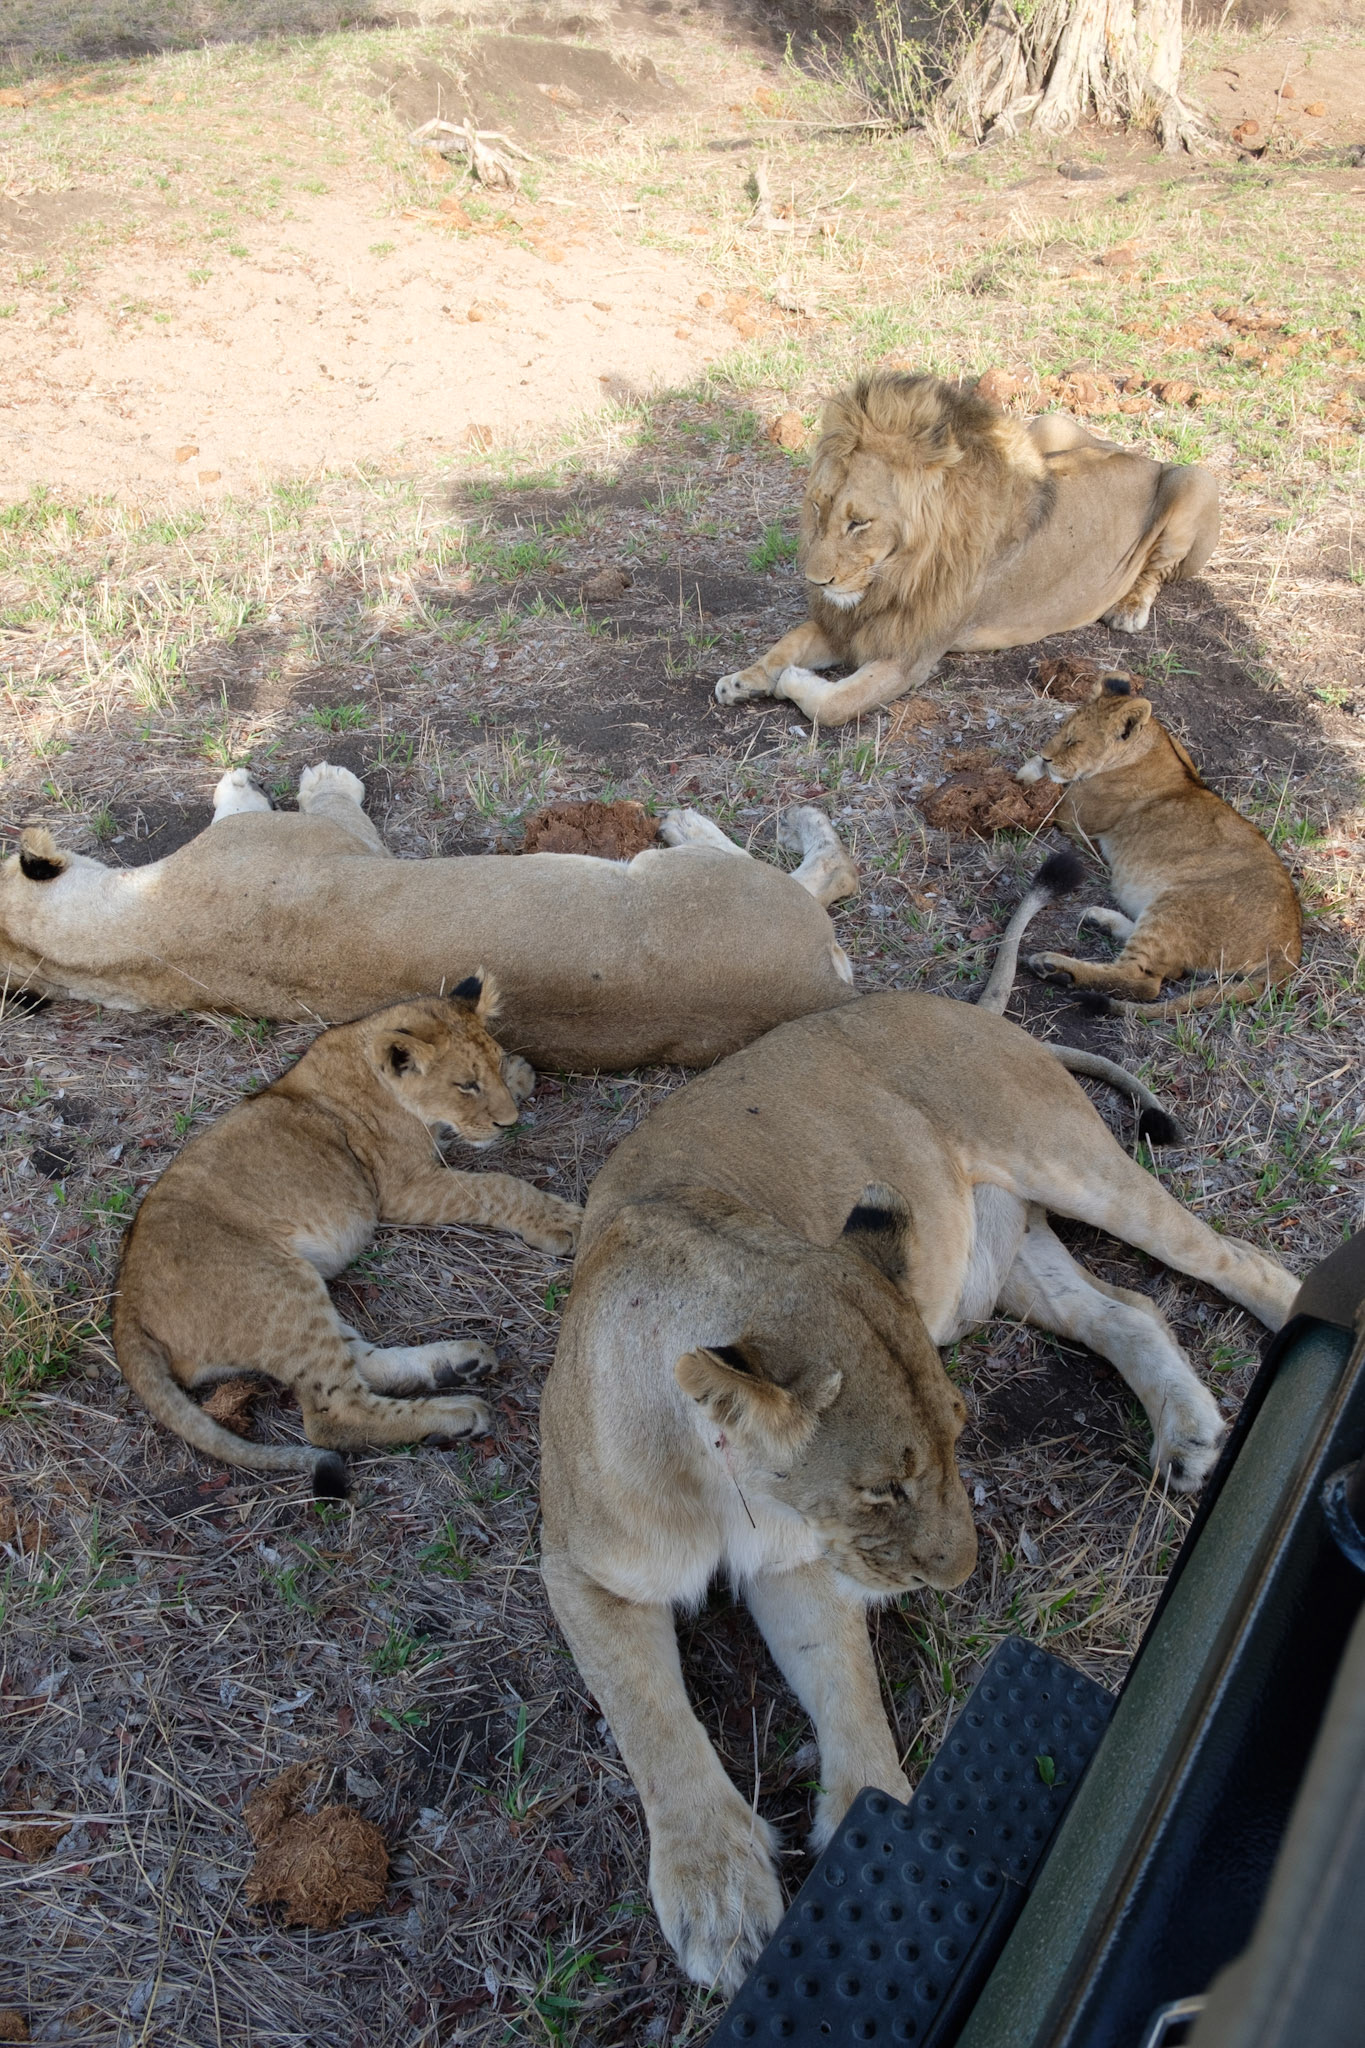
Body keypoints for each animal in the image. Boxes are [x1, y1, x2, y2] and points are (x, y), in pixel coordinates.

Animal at [1, 764, 859, 1069]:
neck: (123, 936)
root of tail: (826, 988)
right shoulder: (338, 841)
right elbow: (327, 799)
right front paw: (298, 774)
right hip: (698, 882)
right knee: (828, 870)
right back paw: (711, 820)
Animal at [114, 981, 580, 1494]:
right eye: (465, 1085)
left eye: (491, 1068)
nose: (509, 1123)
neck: (366, 1060)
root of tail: (126, 1306)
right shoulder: (404, 1189)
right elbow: (499, 1186)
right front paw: (566, 1221)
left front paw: (519, 1073)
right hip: (277, 1287)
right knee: (334, 1415)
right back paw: (456, 1413)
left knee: (358, 1360)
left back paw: (456, 1364)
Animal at [539, 991, 1296, 1992]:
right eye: (882, 1489)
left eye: (958, 1437)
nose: (960, 1576)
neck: (722, 1486)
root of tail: (957, 1003)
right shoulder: (583, 1573)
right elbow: (651, 1721)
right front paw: (720, 1895)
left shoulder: (797, 1560)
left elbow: (846, 1685)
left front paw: (873, 1841)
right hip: (1007, 1266)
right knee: (1128, 1310)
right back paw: (1187, 1431)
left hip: (1073, 1165)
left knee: (1232, 1257)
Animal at [714, 374, 1219, 725]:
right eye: (818, 507)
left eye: (859, 523)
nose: (816, 581)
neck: (896, 573)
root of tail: (1143, 456)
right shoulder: (849, 623)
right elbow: (788, 643)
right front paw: (742, 681)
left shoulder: (910, 655)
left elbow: (834, 705)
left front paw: (791, 681)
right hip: (1049, 426)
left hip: (1194, 479)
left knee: (1158, 569)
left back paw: (1129, 609)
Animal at [1016, 676, 1302, 1017]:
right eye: (1063, 730)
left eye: (1074, 741)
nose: (1046, 754)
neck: (1153, 743)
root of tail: (1290, 949)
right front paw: (1032, 767)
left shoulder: (1073, 816)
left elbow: (1048, 788)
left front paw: (1026, 774)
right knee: (1168, 969)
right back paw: (1100, 920)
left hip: (1177, 906)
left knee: (1142, 982)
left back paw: (1055, 967)